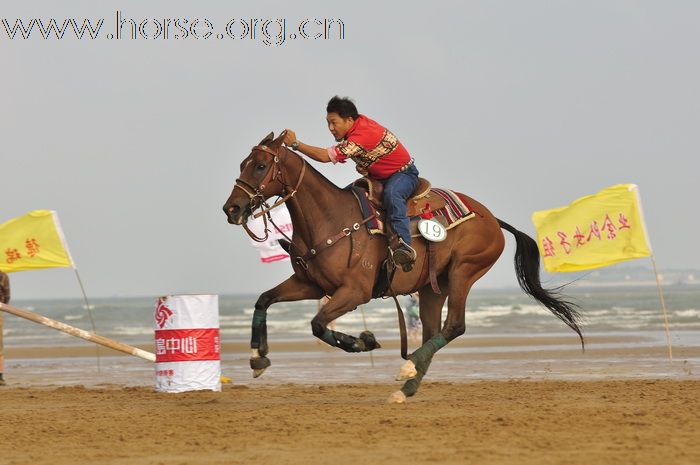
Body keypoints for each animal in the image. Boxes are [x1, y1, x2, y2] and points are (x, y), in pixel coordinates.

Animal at [224, 131, 584, 402]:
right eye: (242, 164)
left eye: (260, 166)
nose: (232, 208)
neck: (330, 219)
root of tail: (493, 219)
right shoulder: (311, 285)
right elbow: (264, 300)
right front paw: (258, 358)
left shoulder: (354, 292)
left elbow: (317, 324)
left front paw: (363, 341)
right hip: (432, 288)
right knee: (433, 331)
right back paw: (407, 387)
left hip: (464, 272)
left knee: (455, 326)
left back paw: (407, 369)